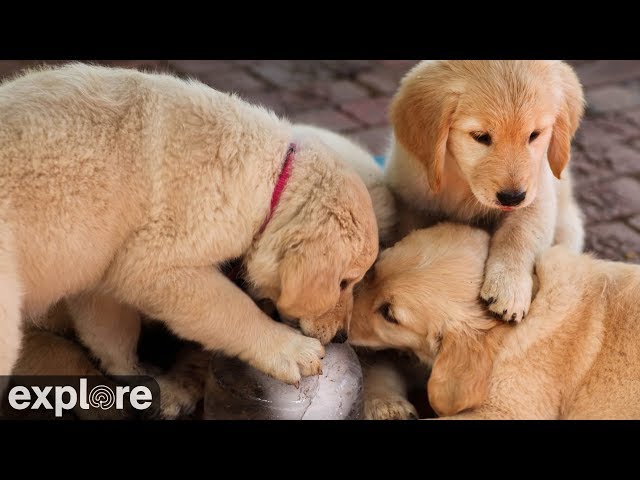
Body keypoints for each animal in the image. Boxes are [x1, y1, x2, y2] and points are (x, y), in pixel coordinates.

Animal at [0, 62, 380, 386]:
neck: (273, 178)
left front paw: (136, 376)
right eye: (344, 282)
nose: (342, 337)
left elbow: (111, 332)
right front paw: (290, 350)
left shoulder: (101, 270)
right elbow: (230, 308)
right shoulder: (155, 266)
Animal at [384, 60, 584, 322]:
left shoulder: (537, 194)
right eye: (481, 137)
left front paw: (509, 287)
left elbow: (518, 236)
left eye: (534, 135)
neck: (463, 182)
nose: (512, 197)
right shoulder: (412, 198)